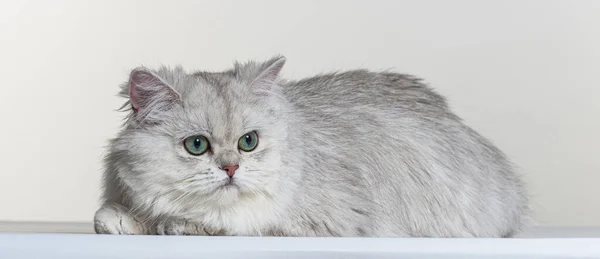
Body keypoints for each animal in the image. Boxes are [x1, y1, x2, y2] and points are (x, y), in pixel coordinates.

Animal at [91, 56, 528, 238]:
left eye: (248, 142)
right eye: (197, 145)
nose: (231, 169)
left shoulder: (322, 222)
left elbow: (228, 222)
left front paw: (177, 224)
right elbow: (116, 214)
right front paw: (122, 220)